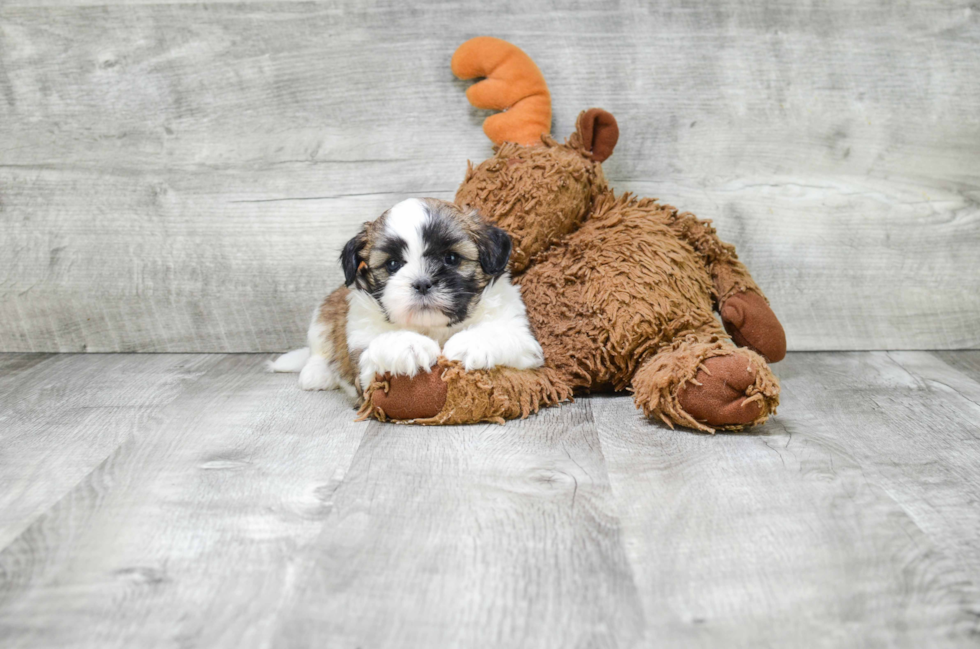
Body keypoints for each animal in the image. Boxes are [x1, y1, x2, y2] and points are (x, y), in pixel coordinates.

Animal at [270, 197, 544, 398]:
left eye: (451, 258)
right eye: (392, 264)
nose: (422, 283)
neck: (433, 327)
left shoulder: (523, 340)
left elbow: (503, 334)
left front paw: (470, 344)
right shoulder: (365, 370)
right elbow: (380, 345)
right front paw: (410, 345)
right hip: (323, 314)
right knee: (318, 348)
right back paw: (317, 373)